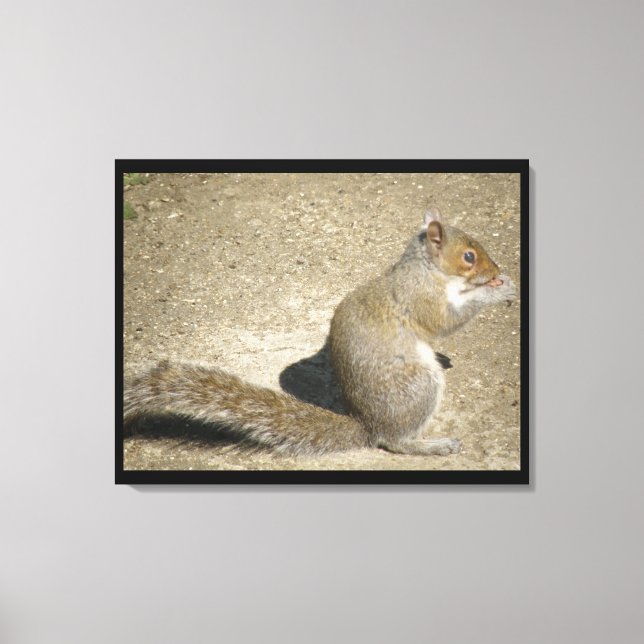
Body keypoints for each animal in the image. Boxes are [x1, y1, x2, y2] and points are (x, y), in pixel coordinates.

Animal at [124, 208, 516, 457]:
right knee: (396, 442)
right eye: (468, 257)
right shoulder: (420, 298)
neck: (426, 269)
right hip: (419, 385)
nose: (496, 270)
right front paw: (498, 291)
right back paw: (431, 445)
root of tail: (369, 425)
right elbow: (445, 322)